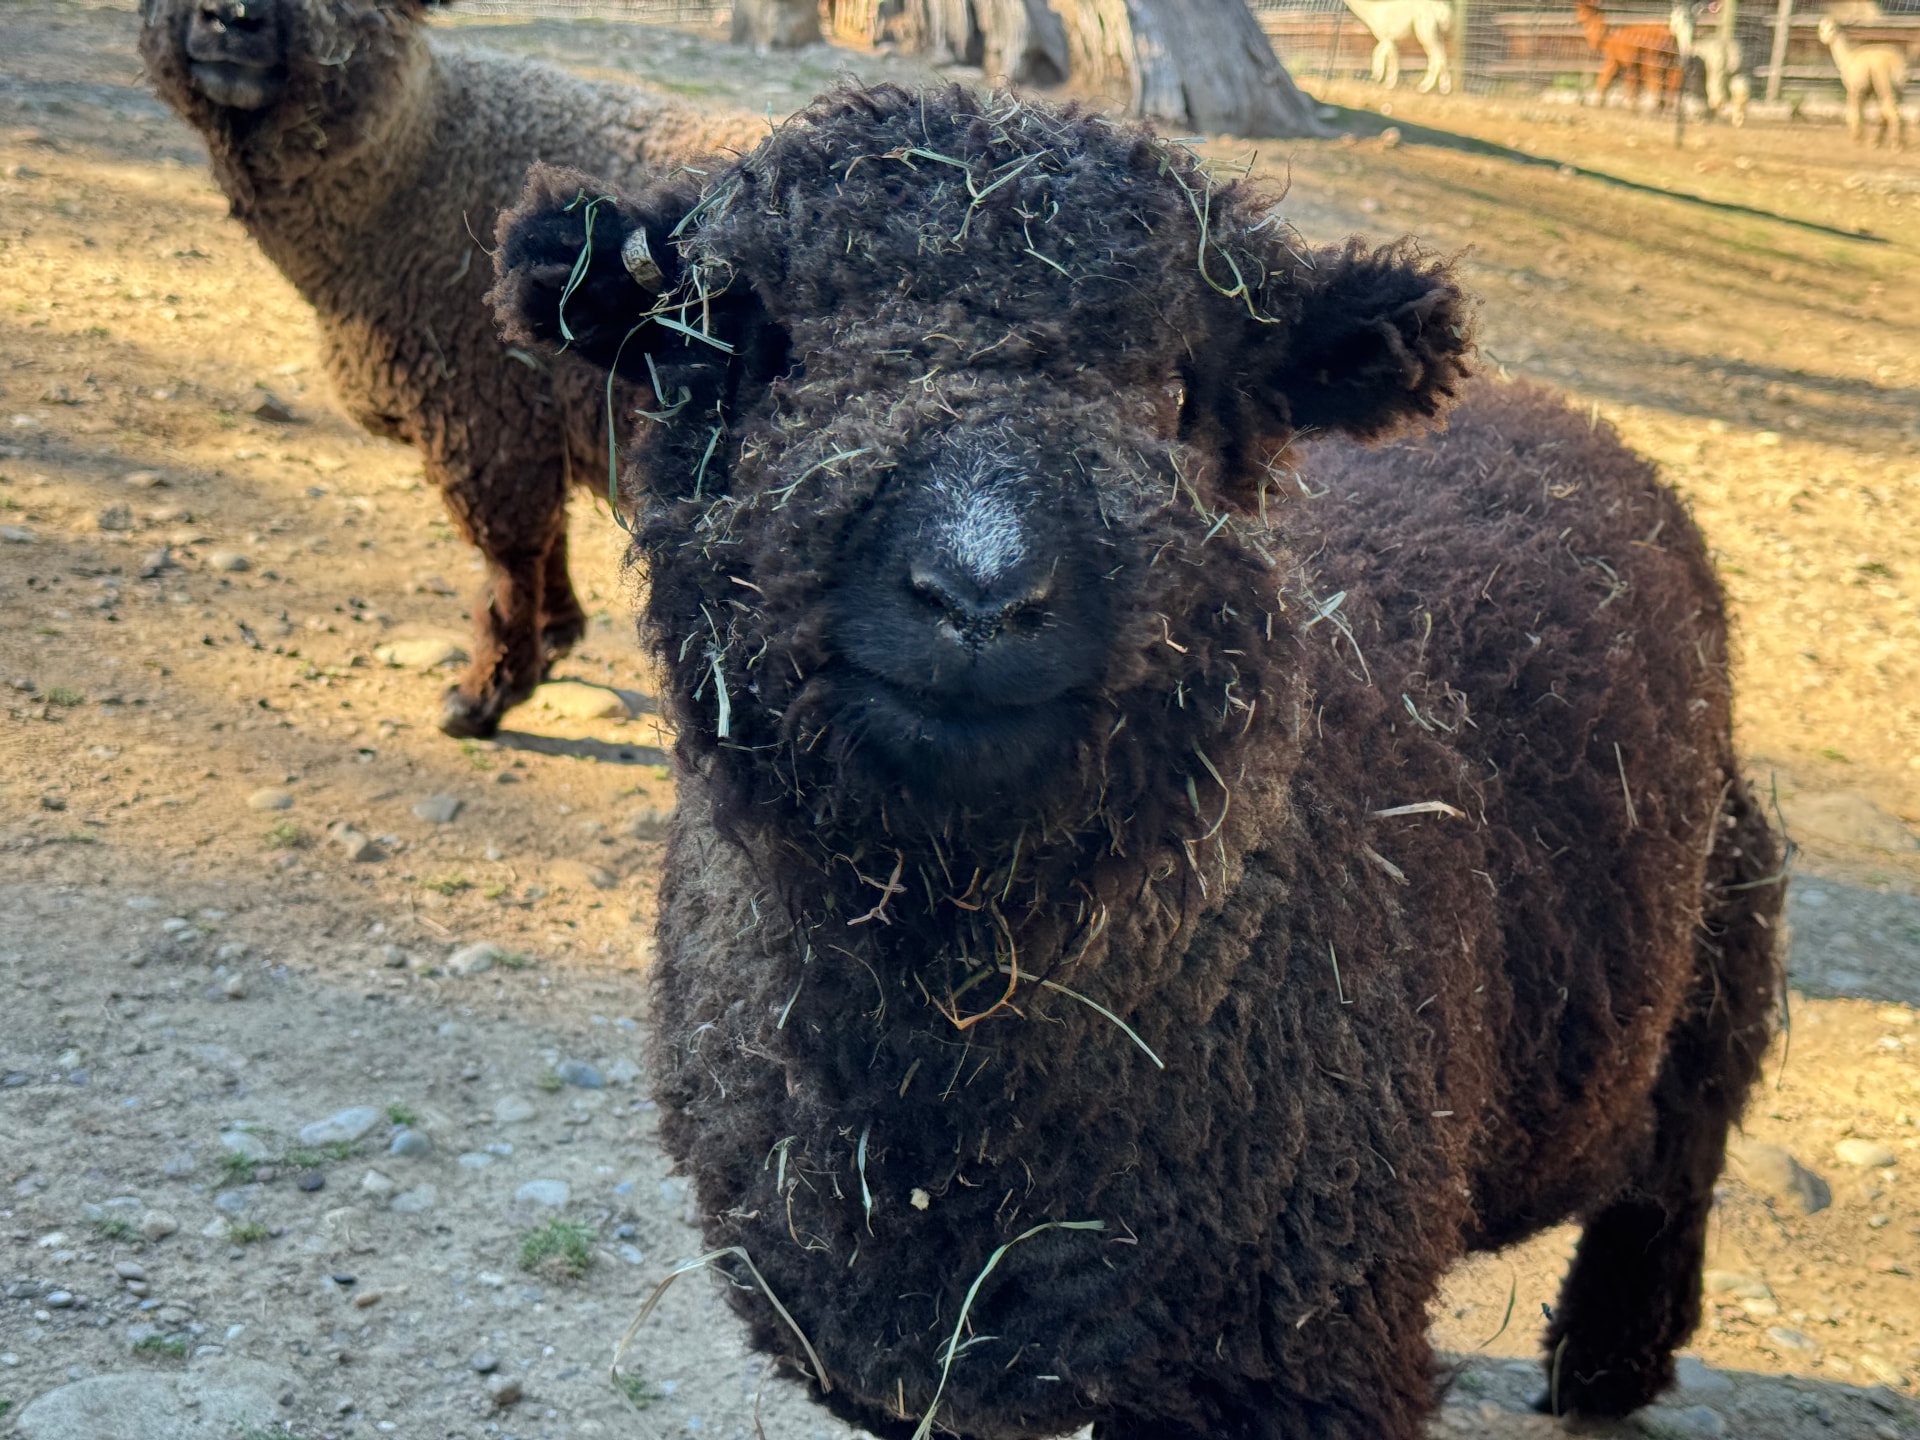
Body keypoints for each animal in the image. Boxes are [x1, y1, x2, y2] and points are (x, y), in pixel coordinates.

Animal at [139, 0, 759, 737]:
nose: (232, 17)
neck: (428, 163)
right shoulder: (529, 418)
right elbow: (547, 539)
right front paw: (553, 636)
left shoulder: (482, 409)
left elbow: (510, 559)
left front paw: (488, 692)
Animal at [489, 84, 1782, 1440]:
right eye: (754, 350)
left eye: (1182, 393)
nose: (982, 593)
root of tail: (1548, 408)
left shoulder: (1304, 1364)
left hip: (1723, 935)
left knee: (1676, 1163)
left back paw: (1604, 1362)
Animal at [1817, 16, 1907, 149]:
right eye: (1820, 28)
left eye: (1832, 28)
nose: (1824, 38)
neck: (1847, 58)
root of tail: (1896, 60)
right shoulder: (1865, 90)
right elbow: (1862, 113)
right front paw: (1860, 137)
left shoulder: (1853, 88)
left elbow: (1852, 113)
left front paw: (1855, 139)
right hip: (1898, 85)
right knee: (1890, 110)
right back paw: (1877, 142)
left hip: (1882, 81)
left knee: (1890, 110)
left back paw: (1895, 146)